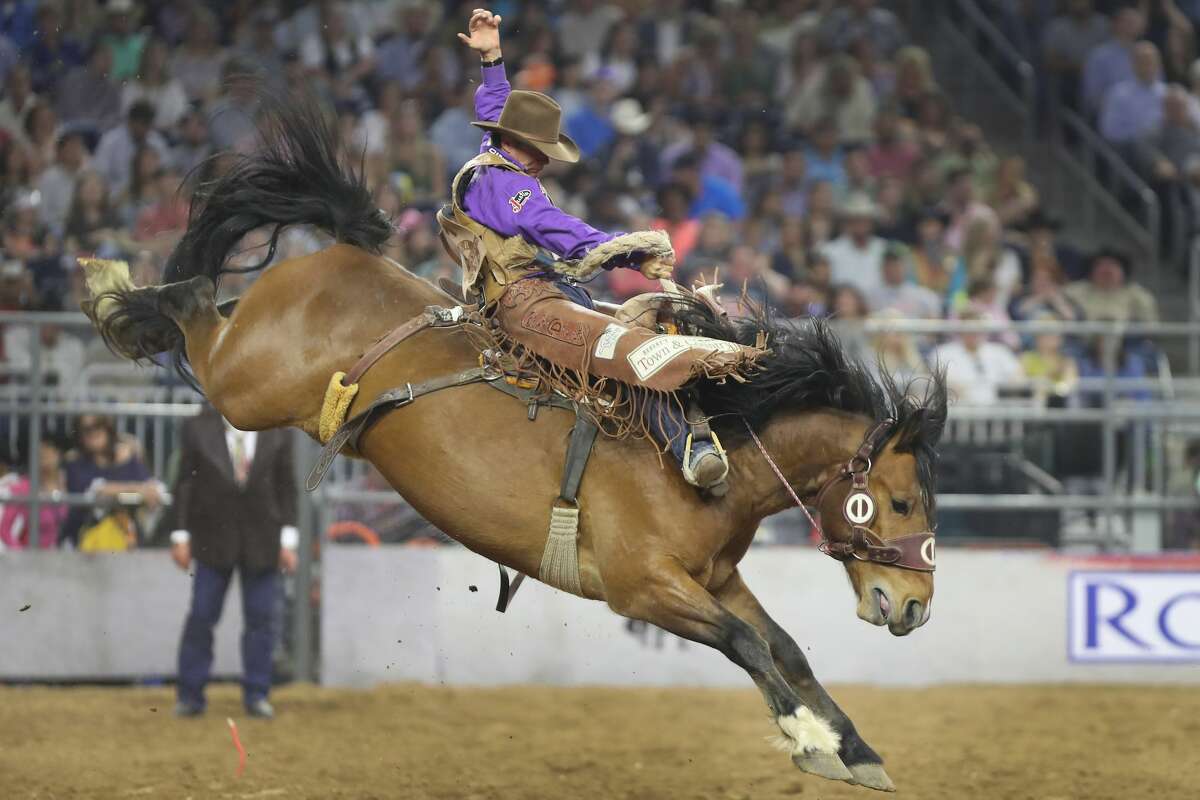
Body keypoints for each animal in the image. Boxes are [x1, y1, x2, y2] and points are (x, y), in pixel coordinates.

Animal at [84, 100, 945, 796]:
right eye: (900, 501)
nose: (913, 607)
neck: (714, 450)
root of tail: (334, 258)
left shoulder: (716, 579)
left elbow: (785, 649)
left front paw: (857, 751)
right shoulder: (644, 589)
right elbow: (745, 646)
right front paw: (810, 741)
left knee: (207, 298)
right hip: (243, 387)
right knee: (192, 305)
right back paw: (112, 287)